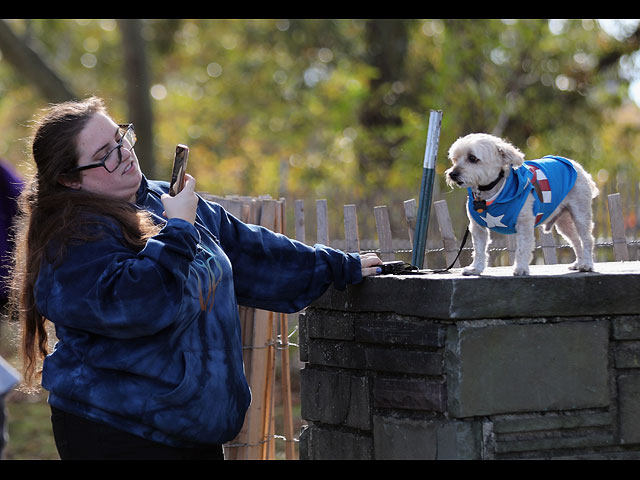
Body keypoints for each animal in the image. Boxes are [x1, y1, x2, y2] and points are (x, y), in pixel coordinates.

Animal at [444, 133, 600, 276]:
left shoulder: (524, 224)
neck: (491, 190)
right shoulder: (478, 228)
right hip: (564, 221)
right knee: (576, 241)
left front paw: (521, 268)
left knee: (587, 239)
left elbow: (522, 248)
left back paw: (586, 264)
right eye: (455, 159)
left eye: (473, 158)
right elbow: (479, 250)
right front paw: (475, 268)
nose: (452, 174)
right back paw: (579, 263)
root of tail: (577, 166)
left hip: (580, 214)